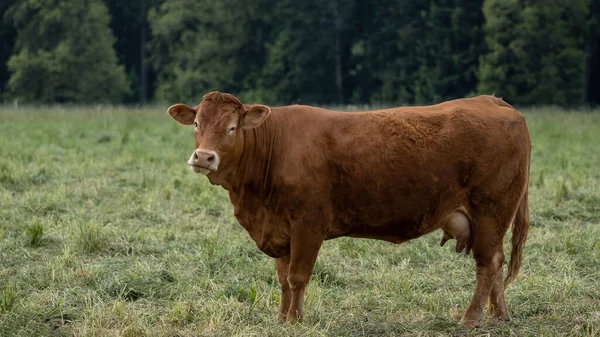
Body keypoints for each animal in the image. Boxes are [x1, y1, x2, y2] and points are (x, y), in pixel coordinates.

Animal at [165, 90, 528, 326]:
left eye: (232, 127)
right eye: (196, 124)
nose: (204, 157)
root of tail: (491, 101)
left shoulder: (308, 224)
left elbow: (297, 277)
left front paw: (295, 321)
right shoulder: (280, 228)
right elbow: (283, 279)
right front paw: (282, 318)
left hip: (491, 209)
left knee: (488, 263)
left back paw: (470, 318)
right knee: (496, 262)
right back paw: (498, 316)